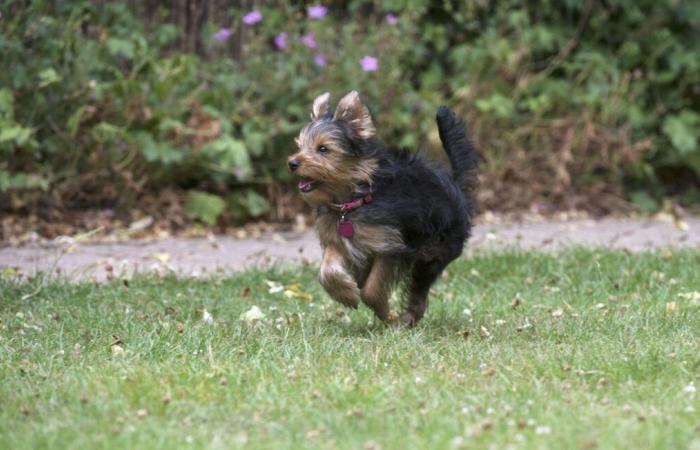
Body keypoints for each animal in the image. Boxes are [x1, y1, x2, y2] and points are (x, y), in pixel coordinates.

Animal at [288, 89, 478, 326]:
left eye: (323, 149)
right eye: (300, 146)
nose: (292, 163)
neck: (352, 200)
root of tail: (456, 188)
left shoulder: (389, 246)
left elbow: (373, 286)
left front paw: (383, 311)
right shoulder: (338, 240)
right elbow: (328, 270)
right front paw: (346, 294)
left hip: (435, 251)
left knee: (419, 288)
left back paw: (406, 319)